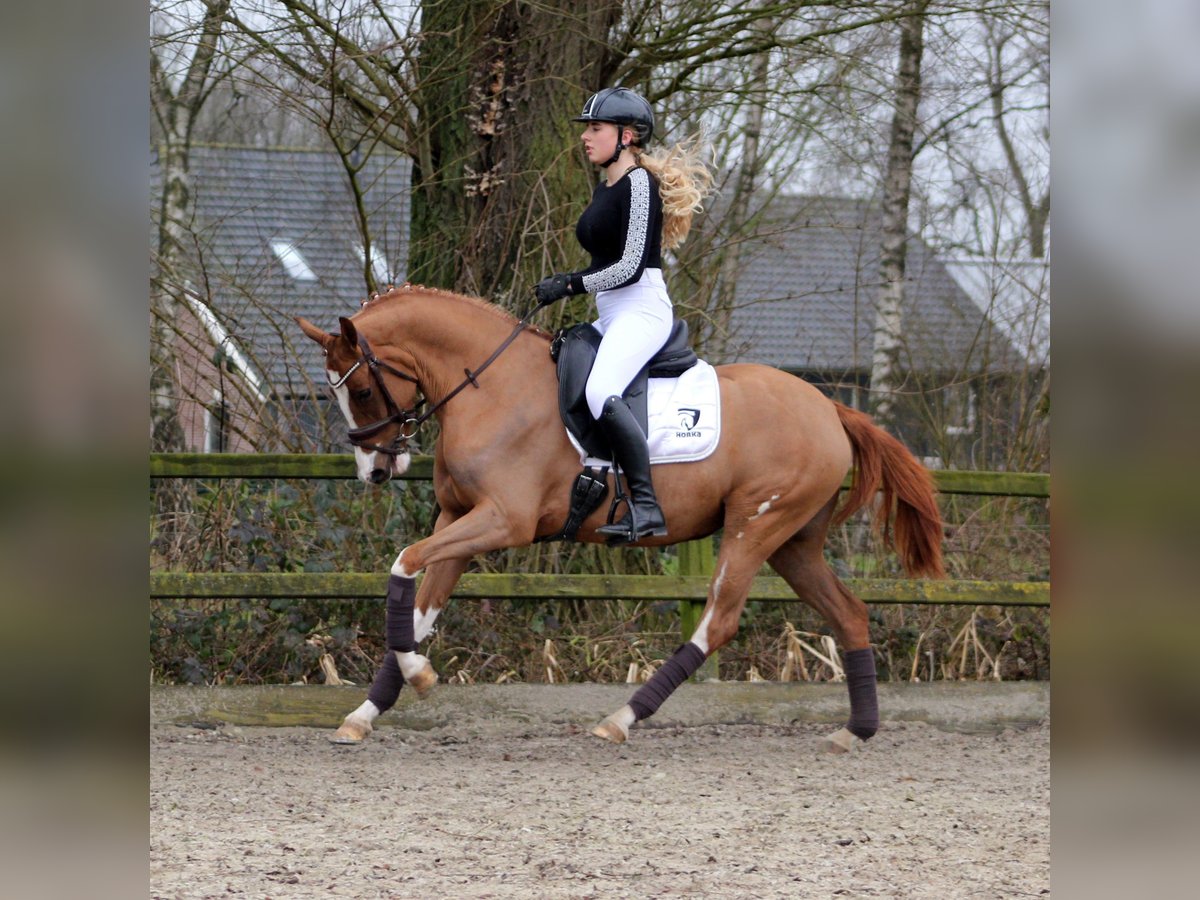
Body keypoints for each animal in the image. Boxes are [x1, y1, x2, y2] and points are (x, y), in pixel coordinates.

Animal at [295, 285, 940, 748]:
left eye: (363, 393)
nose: (375, 471)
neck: (490, 386)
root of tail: (829, 407)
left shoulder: (502, 521)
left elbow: (402, 565)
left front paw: (421, 676)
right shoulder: (457, 519)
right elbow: (419, 608)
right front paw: (366, 712)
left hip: (754, 529)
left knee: (717, 622)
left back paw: (621, 719)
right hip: (793, 544)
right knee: (849, 614)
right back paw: (855, 731)